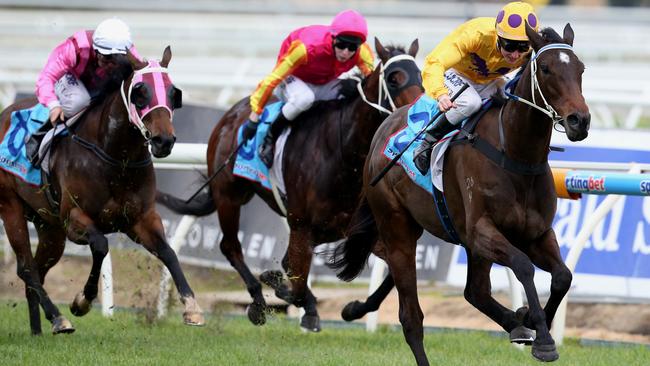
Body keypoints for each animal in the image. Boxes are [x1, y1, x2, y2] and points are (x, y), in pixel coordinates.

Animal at [0, 47, 202, 336]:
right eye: (140, 92)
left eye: (174, 93)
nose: (164, 141)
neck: (116, 158)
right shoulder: (74, 219)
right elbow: (100, 245)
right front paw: (81, 302)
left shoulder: (141, 219)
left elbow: (169, 252)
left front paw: (191, 307)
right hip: (12, 209)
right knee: (27, 268)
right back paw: (59, 318)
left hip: (49, 228)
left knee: (35, 271)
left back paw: (38, 330)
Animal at [156, 38, 420, 332]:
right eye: (394, 78)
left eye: (420, 75)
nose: (416, 110)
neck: (342, 152)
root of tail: (232, 113)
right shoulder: (302, 224)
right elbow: (296, 283)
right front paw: (282, 289)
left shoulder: (350, 228)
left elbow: (391, 275)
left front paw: (352, 308)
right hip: (229, 195)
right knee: (231, 246)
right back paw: (259, 302)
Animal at [330, 24, 588, 364]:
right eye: (545, 68)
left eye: (580, 69)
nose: (579, 120)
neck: (515, 153)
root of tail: (383, 129)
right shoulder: (481, 231)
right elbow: (522, 266)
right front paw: (543, 339)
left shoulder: (536, 233)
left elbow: (562, 276)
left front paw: (529, 319)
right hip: (398, 228)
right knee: (411, 317)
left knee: (474, 291)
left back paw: (515, 323)